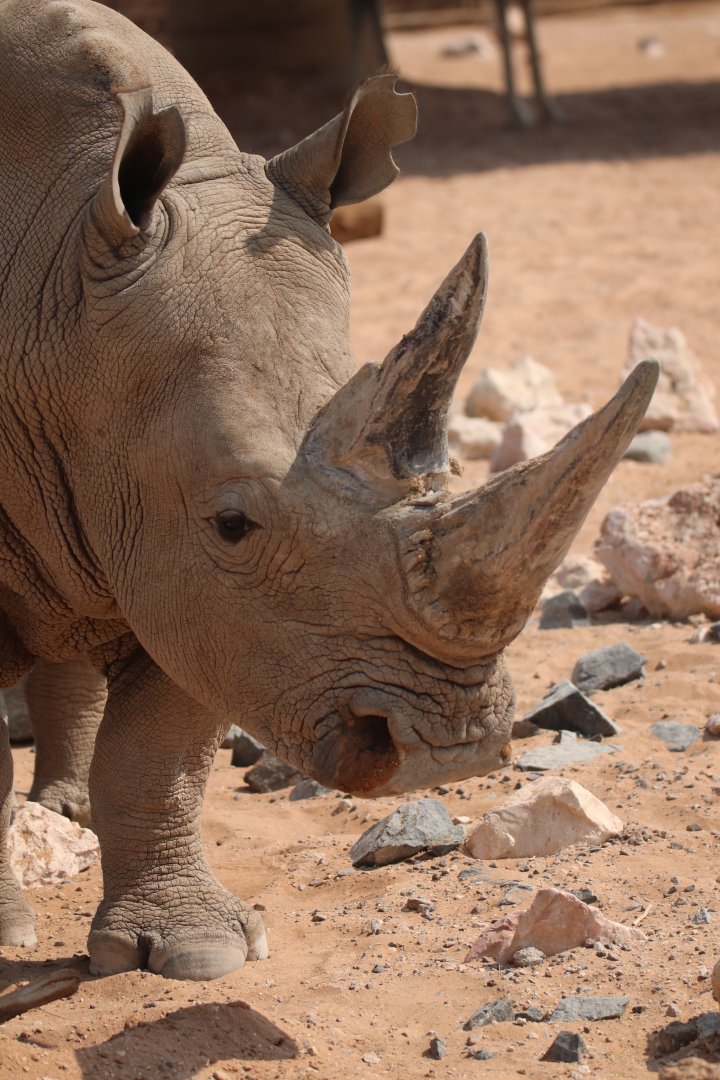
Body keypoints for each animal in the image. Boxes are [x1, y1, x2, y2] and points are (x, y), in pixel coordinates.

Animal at [0, 0, 657, 981]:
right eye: (233, 523)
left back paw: (64, 814)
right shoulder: (185, 540)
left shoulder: (183, 573)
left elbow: (159, 752)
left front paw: (193, 951)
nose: (447, 750)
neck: (51, 282)